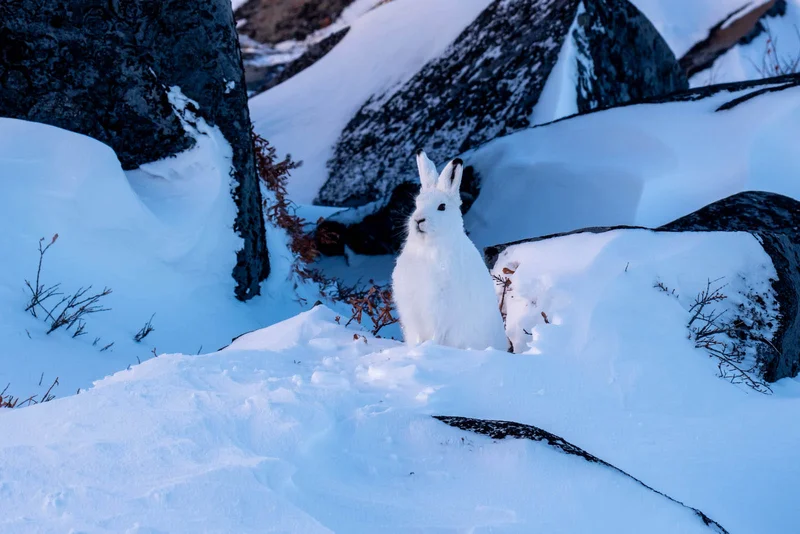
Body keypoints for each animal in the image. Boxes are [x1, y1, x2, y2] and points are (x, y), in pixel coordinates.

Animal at [391, 150, 508, 351]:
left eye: (442, 207)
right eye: (417, 204)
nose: (418, 220)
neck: (428, 246)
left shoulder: (441, 307)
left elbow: (437, 333)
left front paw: (429, 347)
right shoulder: (412, 308)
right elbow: (417, 334)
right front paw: (416, 348)